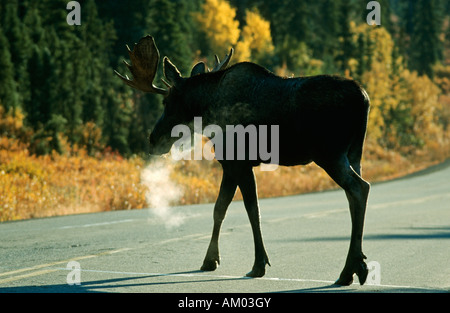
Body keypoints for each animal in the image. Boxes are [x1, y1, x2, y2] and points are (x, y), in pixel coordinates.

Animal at [114, 35, 370, 284]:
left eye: (166, 102)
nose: (153, 139)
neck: (208, 110)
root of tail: (365, 99)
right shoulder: (230, 165)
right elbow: (220, 208)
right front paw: (211, 260)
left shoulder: (239, 161)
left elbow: (251, 210)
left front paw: (258, 265)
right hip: (354, 153)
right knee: (354, 194)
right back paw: (355, 267)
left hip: (330, 154)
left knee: (360, 188)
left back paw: (349, 269)